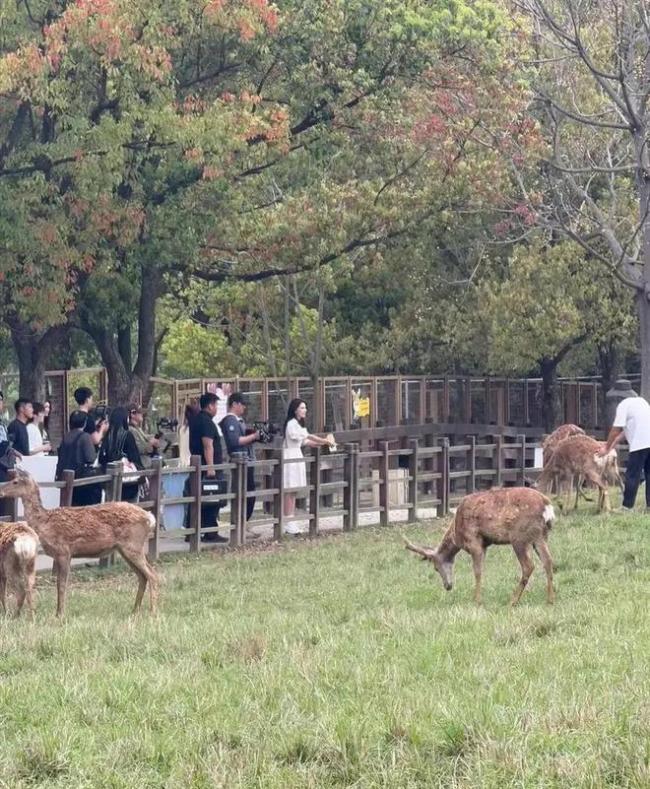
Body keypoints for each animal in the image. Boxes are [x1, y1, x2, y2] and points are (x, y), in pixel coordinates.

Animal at [0, 470, 159, 617]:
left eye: (15, 481)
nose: (1, 491)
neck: (45, 522)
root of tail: (150, 518)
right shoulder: (61, 555)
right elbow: (59, 584)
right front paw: (58, 612)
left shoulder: (64, 551)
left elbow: (62, 585)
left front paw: (60, 614)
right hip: (125, 548)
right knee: (143, 576)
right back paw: (135, 611)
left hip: (133, 544)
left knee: (152, 574)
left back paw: (152, 611)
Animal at [404, 487, 556, 606]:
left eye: (436, 568)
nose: (447, 586)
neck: (456, 533)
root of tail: (547, 506)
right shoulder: (484, 545)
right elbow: (481, 568)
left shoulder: (474, 541)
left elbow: (477, 571)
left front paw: (476, 600)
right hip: (540, 536)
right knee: (548, 560)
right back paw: (550, 599)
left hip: (520, 537)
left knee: (528, 566)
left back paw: (513, 601)